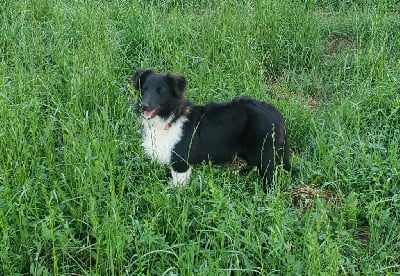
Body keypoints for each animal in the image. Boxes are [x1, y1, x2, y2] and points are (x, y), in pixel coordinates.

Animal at [133, 69, 298, 190]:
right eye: (144, 89)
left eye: (160, 91)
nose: (143, 106)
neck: (170, 117)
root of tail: (277, 115)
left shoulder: (181, 163)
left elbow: (178, 188)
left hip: (265, 152)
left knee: (270, 177)